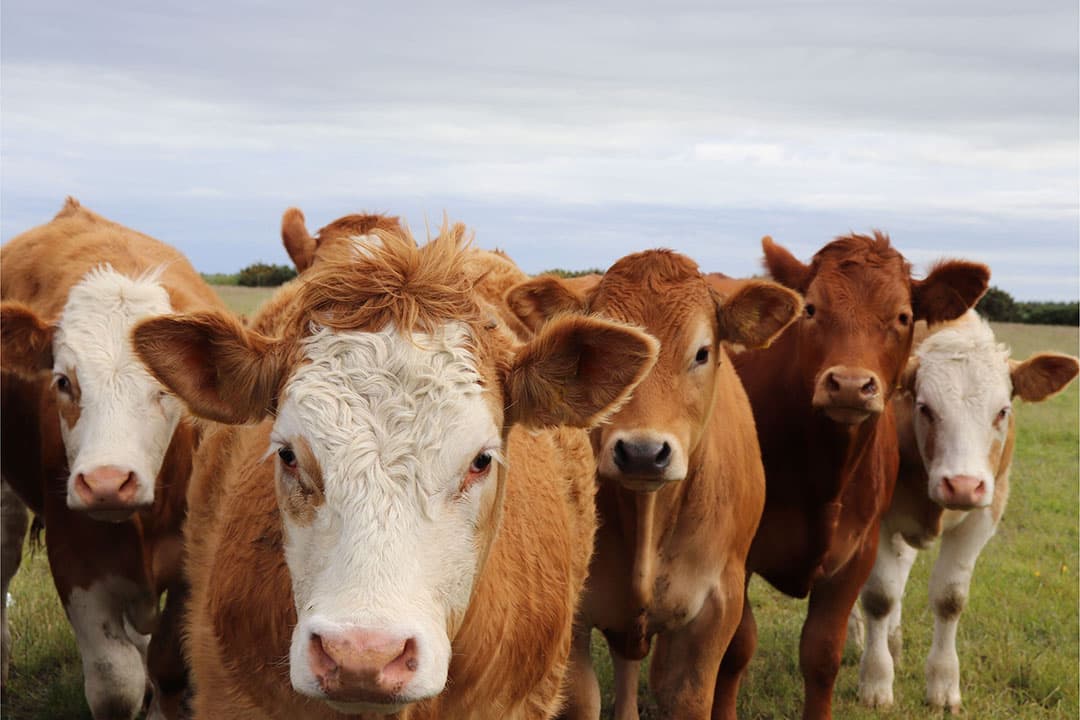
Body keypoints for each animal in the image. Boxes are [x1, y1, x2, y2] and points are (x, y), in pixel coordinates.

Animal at [0, 197, 229, 719]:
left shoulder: (191, 564)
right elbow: (114, 682)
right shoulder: (78, 561)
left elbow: (169, 666)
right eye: (63, 381)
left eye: (165, 388)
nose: (107, 483)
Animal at [711, 232, 989, 720]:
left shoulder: (856, 554)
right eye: (811, 309)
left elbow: (822, 654)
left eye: (903, 316)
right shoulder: (736, 556)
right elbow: (735, 649)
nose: (850, 385)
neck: (825, 475)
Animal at [855, 311, 1079, 711]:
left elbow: (949, 599)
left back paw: (894, 643)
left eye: (1002, 411)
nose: (961, 484)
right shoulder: (875, 516)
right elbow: (879, 596)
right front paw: (876, 682)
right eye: (925, 408)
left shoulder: (983, 515)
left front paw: (943, 686)